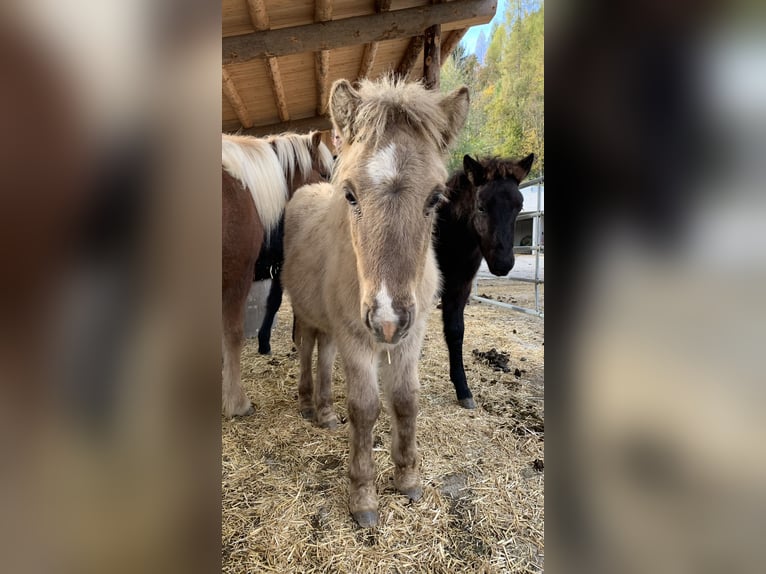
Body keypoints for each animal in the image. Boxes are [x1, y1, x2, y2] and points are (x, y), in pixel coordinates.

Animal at [282, 77, 470, 527]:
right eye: (350, 195)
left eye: (436, 198)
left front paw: (407, 479)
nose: (387, 319)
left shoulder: (410, 336)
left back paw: (326, 412)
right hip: (309, 313)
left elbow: (405, 400)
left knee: (324, 353)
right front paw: (363, 496)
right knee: (307, 348)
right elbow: (366, 409)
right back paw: (307, 403)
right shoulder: (358, 337)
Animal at [434, 153, 535, 409]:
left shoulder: (459, 287)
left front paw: (463, 390)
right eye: (480, 206)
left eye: (519, 206)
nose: (503, 263)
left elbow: (455, 331)